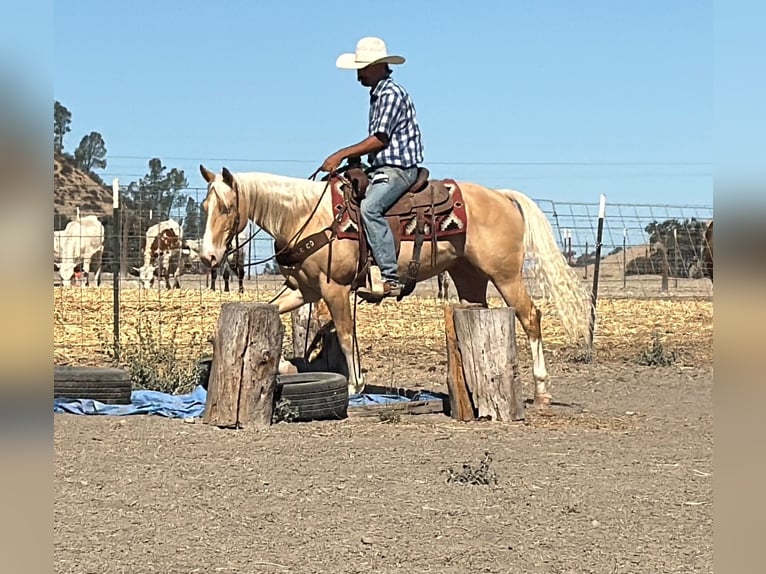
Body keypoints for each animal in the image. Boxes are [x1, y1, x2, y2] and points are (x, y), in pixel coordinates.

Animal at [198, 165, 591, 408]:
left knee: (531, 316)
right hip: (469, 278)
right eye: (204, 206)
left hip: (506, 275)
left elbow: (345, 334)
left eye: (227, 207)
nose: (208, 256)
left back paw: (541, 390)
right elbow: (276, 312)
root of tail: (501, 195)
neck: (308, 215)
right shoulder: (303, 291)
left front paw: (355, 386)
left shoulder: (335, 289)